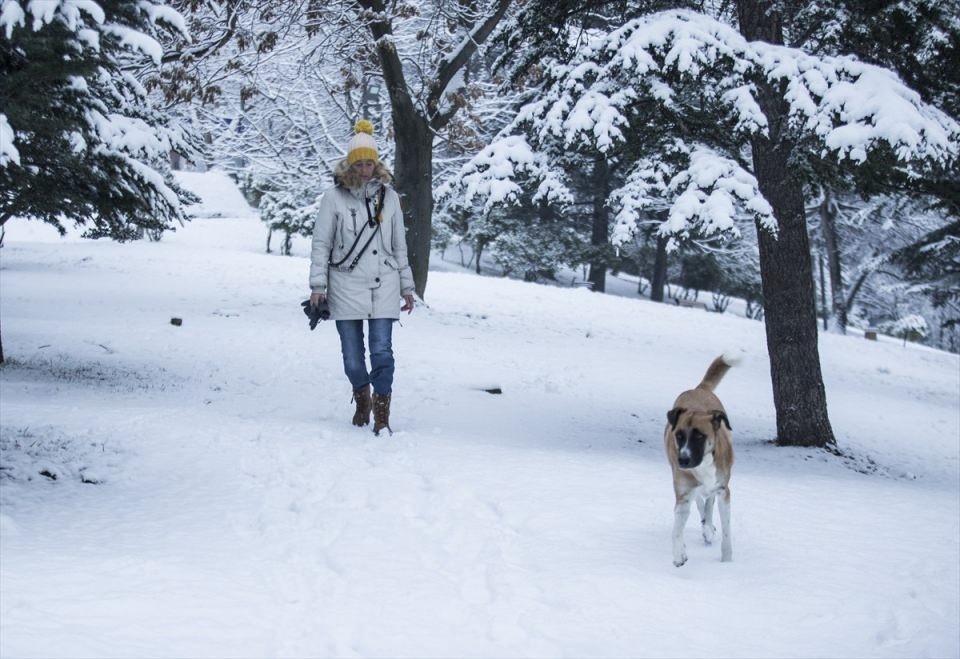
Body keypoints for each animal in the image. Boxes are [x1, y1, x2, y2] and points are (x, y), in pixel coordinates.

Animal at [664, 356, 740, 568]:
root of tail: (699, 389)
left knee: (708, 501)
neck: (703, 464)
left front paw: (727, 561)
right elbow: (677, 528)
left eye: (699, 436)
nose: (683, 459)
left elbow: (727, 531)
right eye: (679, 436)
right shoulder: (683, 492)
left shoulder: (723, 490)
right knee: (700, 500)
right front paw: (679, 555)